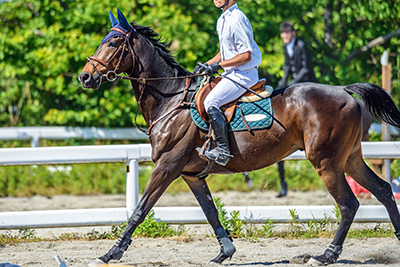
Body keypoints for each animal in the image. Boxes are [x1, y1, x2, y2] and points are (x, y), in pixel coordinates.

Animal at [79, 8, 400, 267]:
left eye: (113, 42)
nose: (85, 77)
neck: (170, 100)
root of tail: (344, 90)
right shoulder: (191, 175)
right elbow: (210, 212)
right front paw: (224, 252)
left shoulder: (167, 167)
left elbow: (140, 210)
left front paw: (110, 254)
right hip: (350, 159)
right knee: (383, 190)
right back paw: (395, 236)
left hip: (327, 163)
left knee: (349, 204)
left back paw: (326, 255)